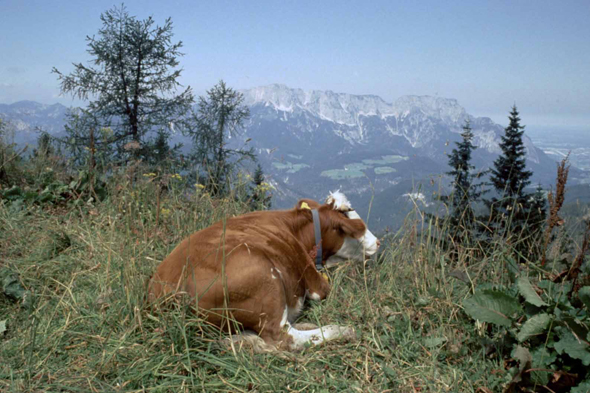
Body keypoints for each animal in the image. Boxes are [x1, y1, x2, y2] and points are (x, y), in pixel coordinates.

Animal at [148, 190, 380, 350]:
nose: (378, 242)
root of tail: (167, 291)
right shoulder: (316, 283)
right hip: (264, 277)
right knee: (285, 339)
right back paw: (343, 330)